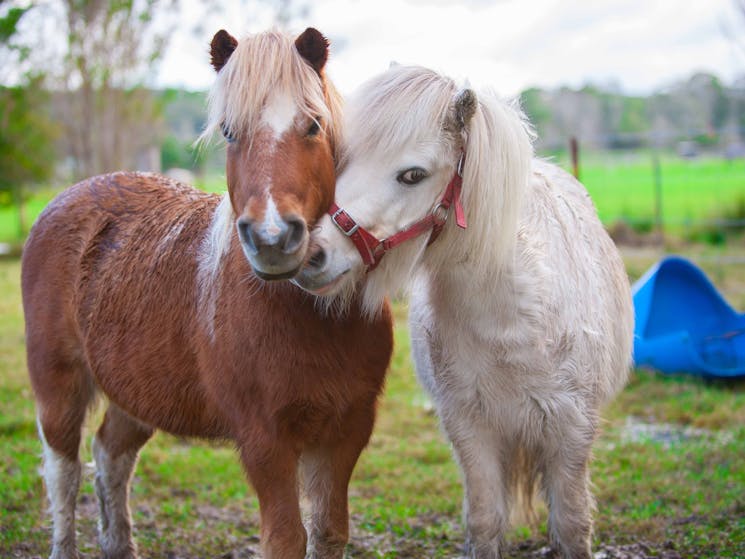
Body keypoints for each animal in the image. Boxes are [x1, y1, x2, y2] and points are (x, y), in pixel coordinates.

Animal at [21, 27, 396, 559]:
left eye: (313, 125)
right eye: (228, 131)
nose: (272, 238)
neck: (316, 315)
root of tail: (66, 198)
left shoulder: (346, 432)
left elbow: (328, 532)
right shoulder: (264, 440)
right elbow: (285, 537)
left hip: (135, 390)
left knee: (110, 455)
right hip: (58, 382)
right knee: (63, 472)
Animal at [294, 63, 632, 556]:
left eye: (413, 174)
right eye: (342, 158)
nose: (309, 254)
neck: (508, 319)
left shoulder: (572, 430)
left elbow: (571, 524)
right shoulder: (469, 426)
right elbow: (485, 520)